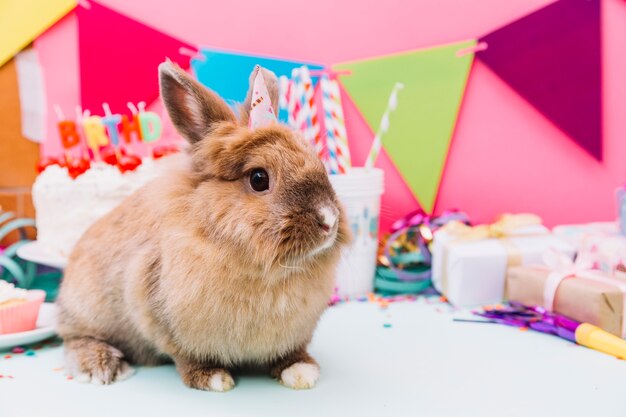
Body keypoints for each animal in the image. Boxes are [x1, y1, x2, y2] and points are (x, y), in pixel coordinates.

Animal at [56, 61, 348, 390]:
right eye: (259, 179)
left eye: (320, 164)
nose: (328, 220)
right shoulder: (163, 320)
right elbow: (188, 358)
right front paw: (213, 379)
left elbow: (291, 353)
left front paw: (302, 372)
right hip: (88, 312)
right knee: (74, 339)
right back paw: (102, 366)